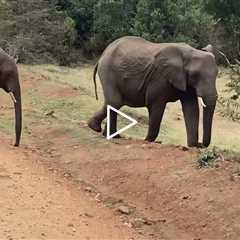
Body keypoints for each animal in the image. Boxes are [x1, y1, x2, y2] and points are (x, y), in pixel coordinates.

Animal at [87, 36, 218, 147]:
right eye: (195, 75)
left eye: (217, 74)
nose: (201, 144)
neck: (190, 52)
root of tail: (103, 55)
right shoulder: (159, 77)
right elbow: (156, 105)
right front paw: (148, 140)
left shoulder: (184, 80)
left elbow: (191, 108)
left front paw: (193, 146)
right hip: (108, 71)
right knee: (115, 102)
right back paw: (98, 129)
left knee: (113, 103)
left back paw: (109, 134)